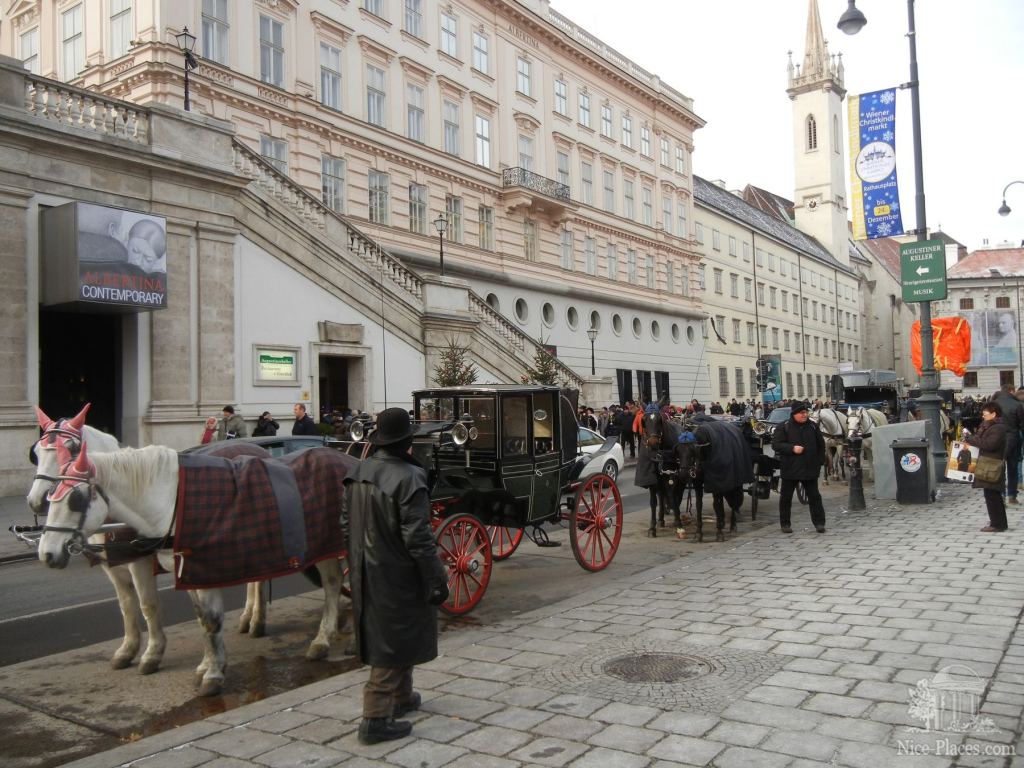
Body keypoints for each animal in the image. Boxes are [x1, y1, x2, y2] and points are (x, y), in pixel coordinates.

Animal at [38, 442, 344, 700]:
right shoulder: (185, 571)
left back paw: (320, 638)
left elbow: (202, 619)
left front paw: (210, 673)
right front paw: (205, 665)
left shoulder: (183, 567)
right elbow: (196, 619)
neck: (171, 500)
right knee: (328, 583)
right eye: (52, 496)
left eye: (75, 500)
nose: (46, 554)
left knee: (332, 584)